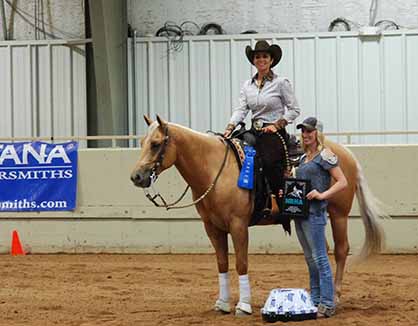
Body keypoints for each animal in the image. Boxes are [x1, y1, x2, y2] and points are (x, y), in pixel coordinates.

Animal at [130, 115, 386, 316]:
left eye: (155, 144)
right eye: (142, 142)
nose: (136, 177)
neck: (215, 168)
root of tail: (345, 153)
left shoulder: (238, 225)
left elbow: (241, 263)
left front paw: (243, 305)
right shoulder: (212, 227)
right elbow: (222, 263)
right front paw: (223, 303)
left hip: (339, 214)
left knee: (341, 250)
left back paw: (336, 296)